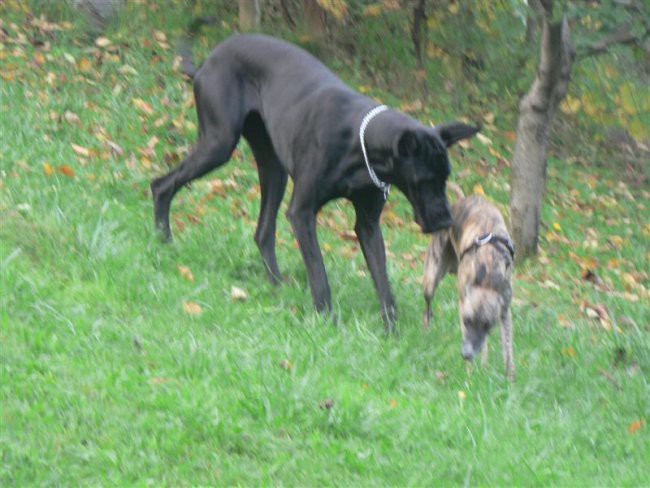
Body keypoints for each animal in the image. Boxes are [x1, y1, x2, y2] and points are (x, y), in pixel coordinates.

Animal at [151, 34, 476, 330]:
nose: (446, 220)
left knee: (263, 232)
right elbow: (319, 273)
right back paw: (163, 240)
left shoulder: (368, 224)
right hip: (219, 143)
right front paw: (326, 319)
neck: (361, 142)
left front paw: (391, 331)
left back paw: (278, 285)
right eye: (425, 179)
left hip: (274, 168)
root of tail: (209, 58)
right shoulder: (302, 212)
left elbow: (383, 281)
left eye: (446, 177)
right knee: (162, 184)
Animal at [422, 194, 512, 382]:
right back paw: (426, 328)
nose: (466, 355)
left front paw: (510, 378)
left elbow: (507, 350)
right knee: (427, 307)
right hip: (431, 277)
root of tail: (462, 200)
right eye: (467, 321)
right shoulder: (463, 306)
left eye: (487, 325)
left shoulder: (505, 311)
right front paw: (472, 374)